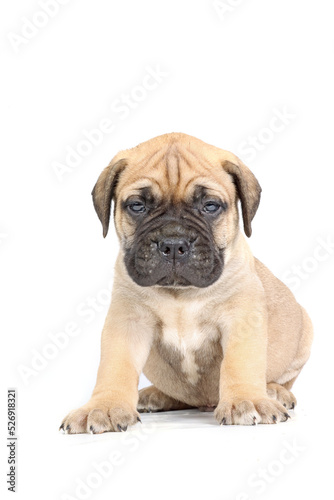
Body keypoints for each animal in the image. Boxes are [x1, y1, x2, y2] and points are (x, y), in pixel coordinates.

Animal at [60, 134, 314, 434]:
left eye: (210, 206)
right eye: (137, 206)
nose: (172, 243)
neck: (180, 295)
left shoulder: (241, 318)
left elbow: (240, 362)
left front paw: (247, 399)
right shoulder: (127, 321)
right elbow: (115, 365)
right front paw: (104, 405)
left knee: (284, 379)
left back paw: (274, 391)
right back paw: (155, 395)